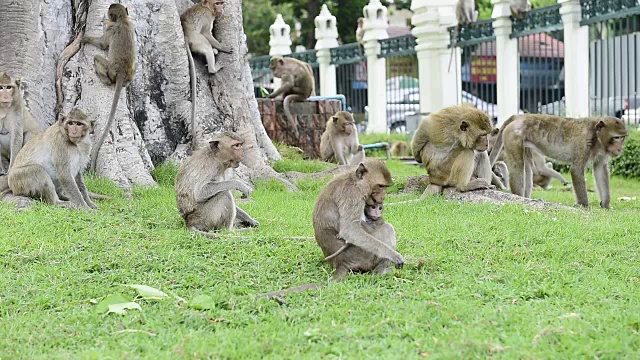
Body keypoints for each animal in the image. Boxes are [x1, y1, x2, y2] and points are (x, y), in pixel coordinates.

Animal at [82, 2, 137, 172]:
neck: (123, 20)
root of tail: (121, 73)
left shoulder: (112, 28)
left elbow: (102, 44)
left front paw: (85, 38)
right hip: (131, 74)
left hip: (109, 68)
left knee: (97, 58)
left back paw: (104, 80)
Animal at [180, 0, 235, 149]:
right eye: (217, 3)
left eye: (221, 3)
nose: (221, 9)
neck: (208, 7)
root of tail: (186, 36)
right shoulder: (208, 17)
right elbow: (207, 33)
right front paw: (223, 47)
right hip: (198, 40)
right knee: (206, 44)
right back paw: (213, 67)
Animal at [488, 114, 628, 207]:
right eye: (616, 137)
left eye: (623, 138)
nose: (620, 148)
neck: (595, 136)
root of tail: (518, 116)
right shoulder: (583, 143)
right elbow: (576, 170)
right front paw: (584, 206)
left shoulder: (602, 152)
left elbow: (600, 170)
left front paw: (605, 205)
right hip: (513, 136)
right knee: (518, 165)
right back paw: (519, 197)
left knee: (527, 170)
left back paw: (527, 199)